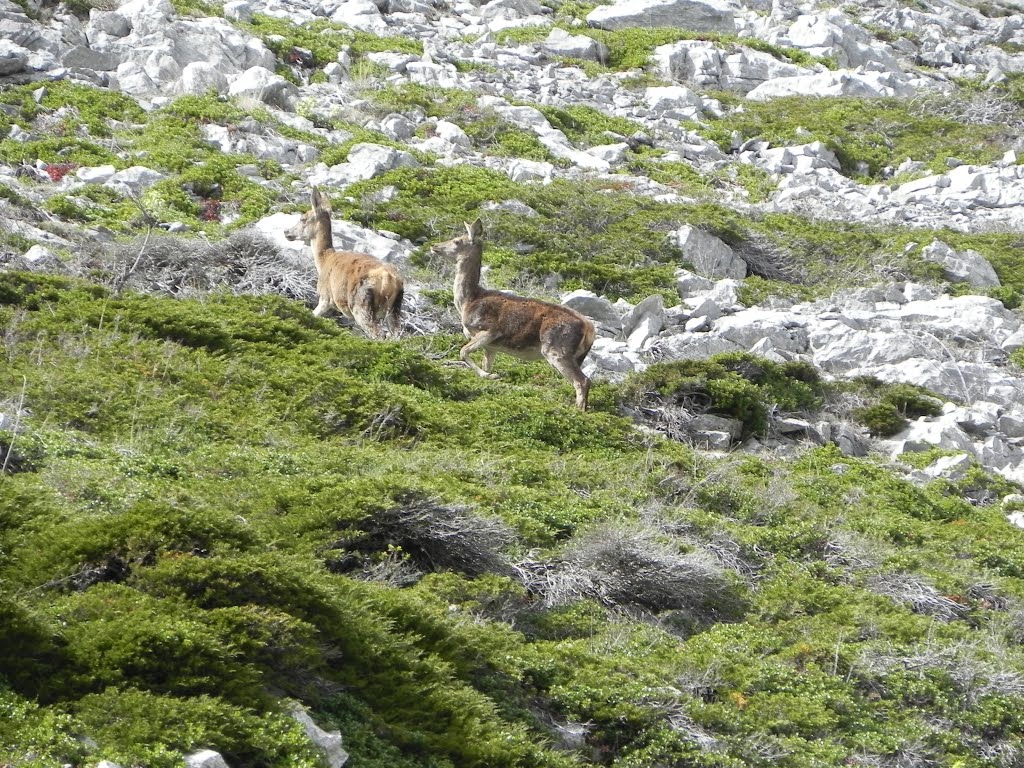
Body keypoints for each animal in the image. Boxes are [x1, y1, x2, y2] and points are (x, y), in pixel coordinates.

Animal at [286, 187, 405, 339]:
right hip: (394, 308)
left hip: (361, 306)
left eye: (303, 219)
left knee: (378, 334)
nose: (287, 232)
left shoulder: (325, 297)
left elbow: (314, 314)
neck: (324, 260)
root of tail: (388, 279)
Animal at [428, 219, 598, 411]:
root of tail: (590, 328)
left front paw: (490, 376)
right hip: (576, 355)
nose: (434, 246)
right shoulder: (491, 347)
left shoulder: (490, 330)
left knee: (582, 381)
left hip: (557, 348)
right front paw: (488, 376)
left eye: (457, 241)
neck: (467, 301)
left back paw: (578, 412)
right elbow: (486, 364)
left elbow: (463, 352)